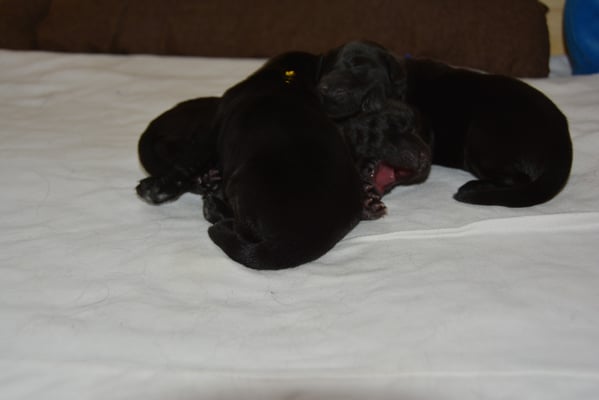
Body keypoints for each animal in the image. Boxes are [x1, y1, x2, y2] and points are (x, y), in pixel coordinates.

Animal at [136, 51, 385, 270]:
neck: (286, 78)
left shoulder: (216, 125)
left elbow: (188, 163)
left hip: (239, 184)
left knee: (239, 226)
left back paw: (212, 205)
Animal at [318, 41, 573, 207]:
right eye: (327, 69)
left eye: (357, 65)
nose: (323, 88)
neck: (404, 85)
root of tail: (562, 141)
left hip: (480, 137)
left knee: (518, 179)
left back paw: (475, 187)